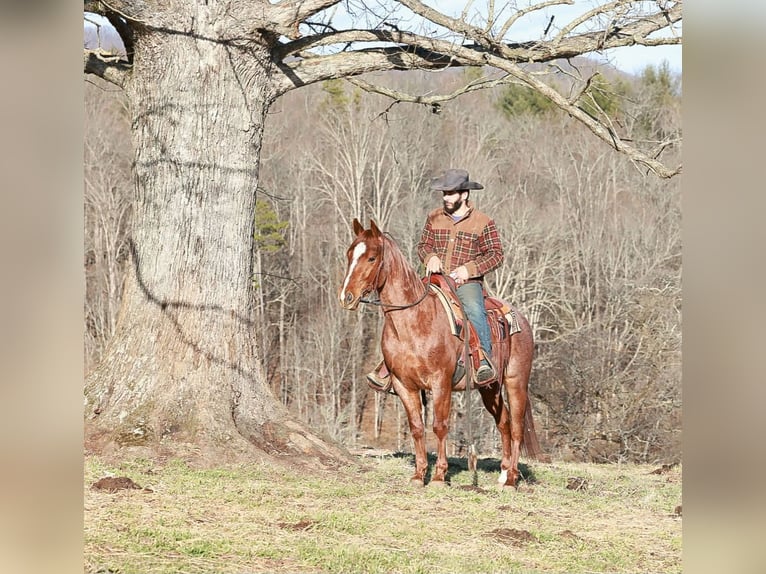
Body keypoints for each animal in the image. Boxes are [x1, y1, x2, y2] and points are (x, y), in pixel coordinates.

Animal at [339, 218, 543, 488]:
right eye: (349, 254)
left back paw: (511, 480)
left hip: (515, 381)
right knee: (504, 422)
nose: (346, 297)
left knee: (517, 426)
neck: (415, 321)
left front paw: (438, 476)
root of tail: (520, 319)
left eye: (372, 258)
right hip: (490, 388)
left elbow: (439, 426)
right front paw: (419, 474)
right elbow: (417, 427)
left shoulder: (440, 382)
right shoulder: (404, 385)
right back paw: (503, 472)